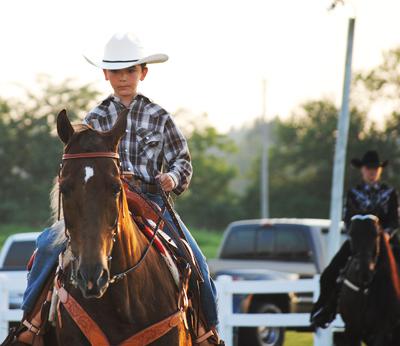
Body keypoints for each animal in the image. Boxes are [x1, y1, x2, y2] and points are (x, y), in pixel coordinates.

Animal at [338, 215, 400, 344]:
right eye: (351, 234)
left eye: (376, 234)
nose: (364, 272)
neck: (365, 290)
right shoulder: (352, 329)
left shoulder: (382, 331)